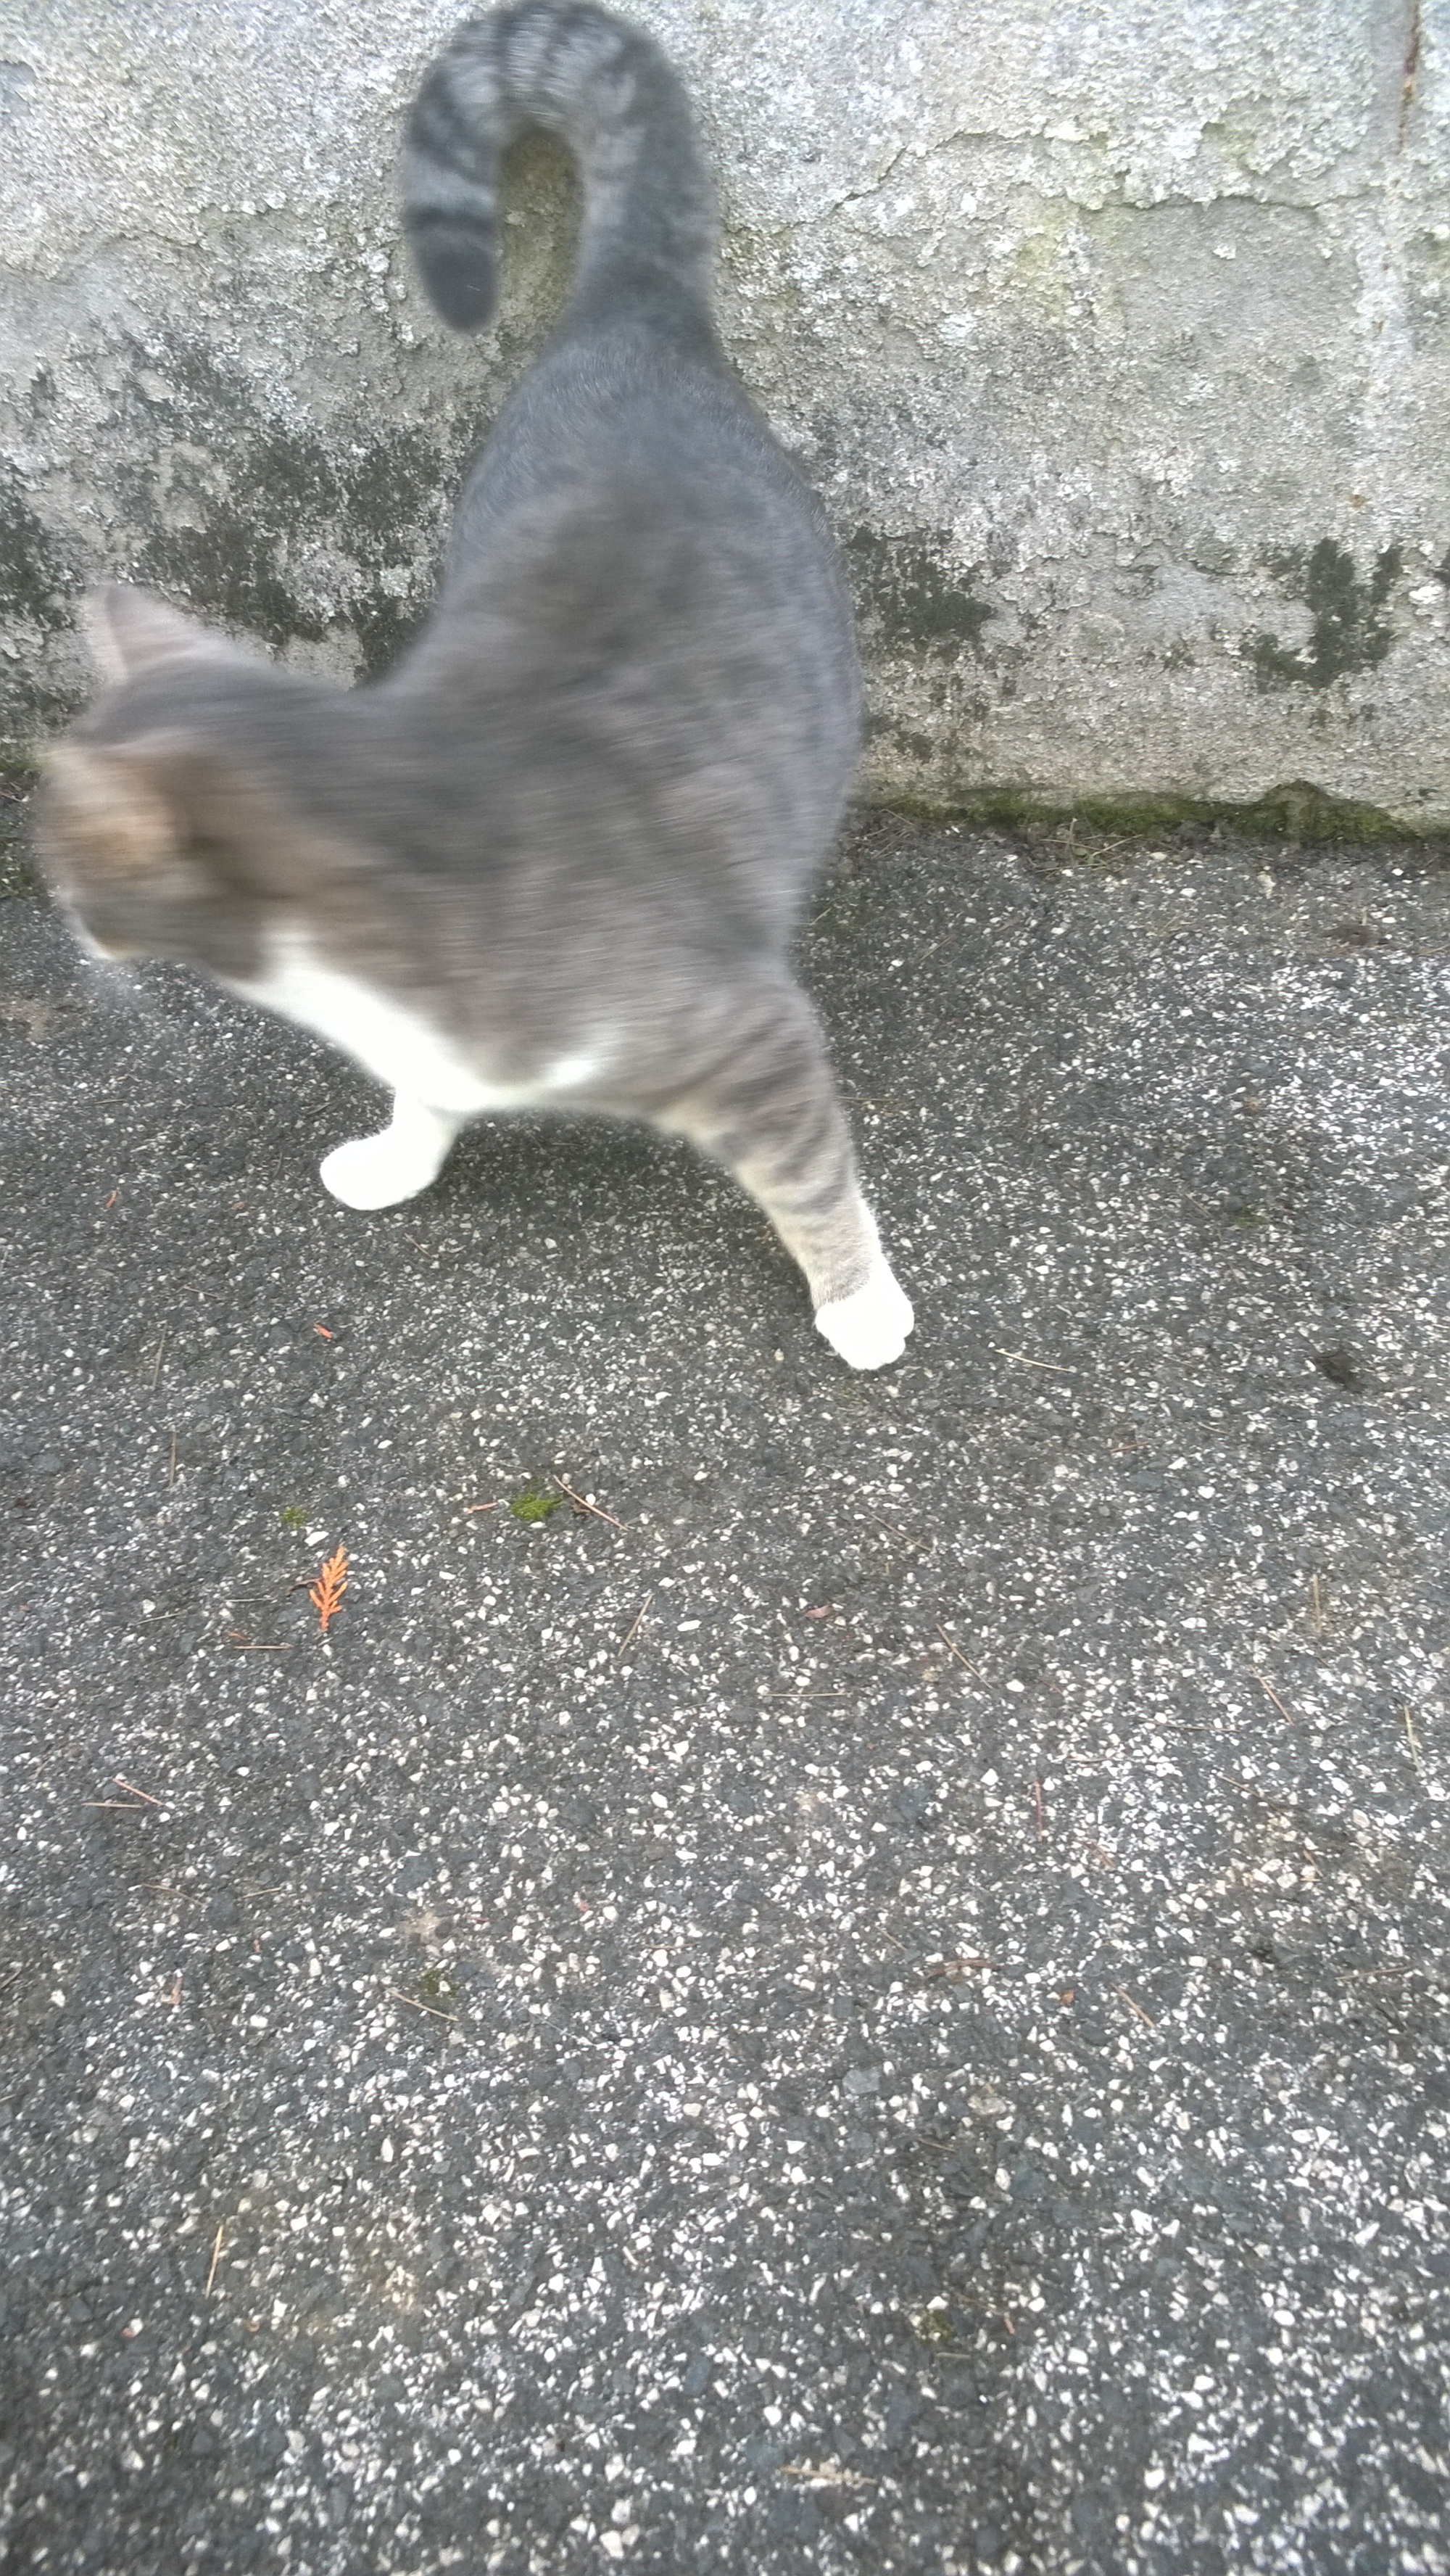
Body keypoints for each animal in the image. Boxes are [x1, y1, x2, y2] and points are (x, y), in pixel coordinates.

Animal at [37, 0, 913, 1370]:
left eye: (57, 854)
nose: (59, 919)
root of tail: (631, 311)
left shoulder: (746, 1032)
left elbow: (811, 1174)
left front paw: (861, 1304)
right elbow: (426, 1085)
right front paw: (401, 1155)